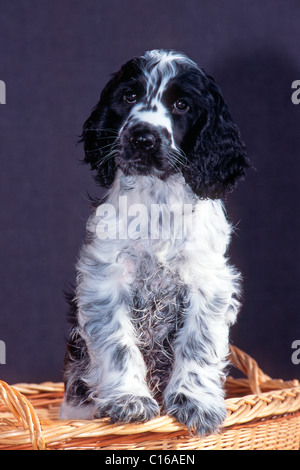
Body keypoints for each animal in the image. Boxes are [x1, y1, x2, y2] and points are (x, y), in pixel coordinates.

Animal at [59, 49, 247, 436]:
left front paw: (196, 404)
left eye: (181, 104)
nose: (143, 137)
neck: (156, 202)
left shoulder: (209, 282)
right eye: (129, 96)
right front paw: (129, 400)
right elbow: (118, 344)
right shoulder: (105, 280)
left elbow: (198, 343)